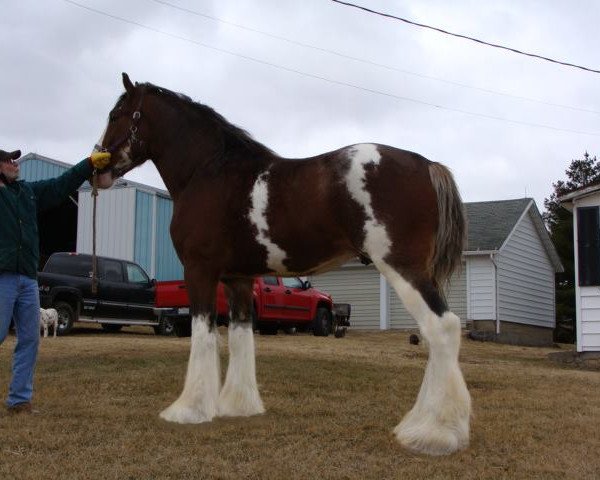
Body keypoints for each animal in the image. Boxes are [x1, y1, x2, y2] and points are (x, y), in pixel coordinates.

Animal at [94, 73, 472, 456]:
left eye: (115, 115)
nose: (98, 169)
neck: (209, 172)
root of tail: (427, 165)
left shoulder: (200, 271)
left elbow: (203, 334)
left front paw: (188, 410)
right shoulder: (239, 279)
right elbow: (240, 336)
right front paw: (238, 406)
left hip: (403, 267)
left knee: (442, 327)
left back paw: (433, 433)